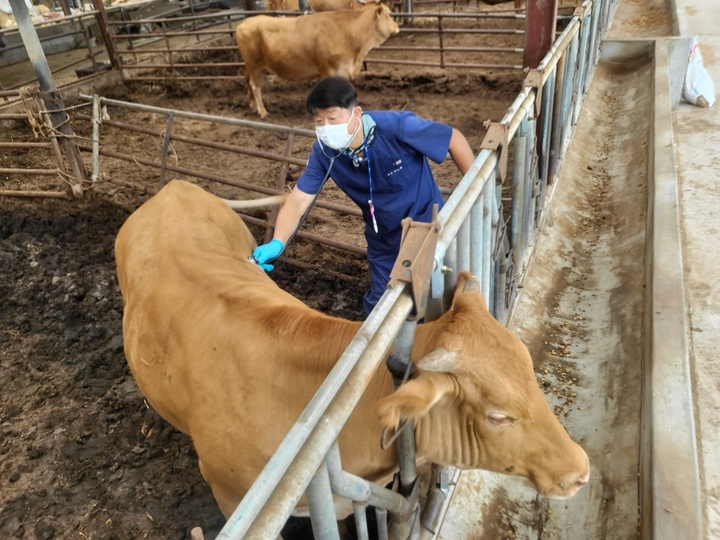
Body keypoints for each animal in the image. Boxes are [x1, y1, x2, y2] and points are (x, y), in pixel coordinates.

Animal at [236, 3, 400, 116]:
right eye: (389, 14)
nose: (397, 26)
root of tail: (245, 22)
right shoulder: (327, 69)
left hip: (255, 66)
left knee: (249, 83)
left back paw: (253, 106)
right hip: (254, 64)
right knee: (255, 86)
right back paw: (263, 112)